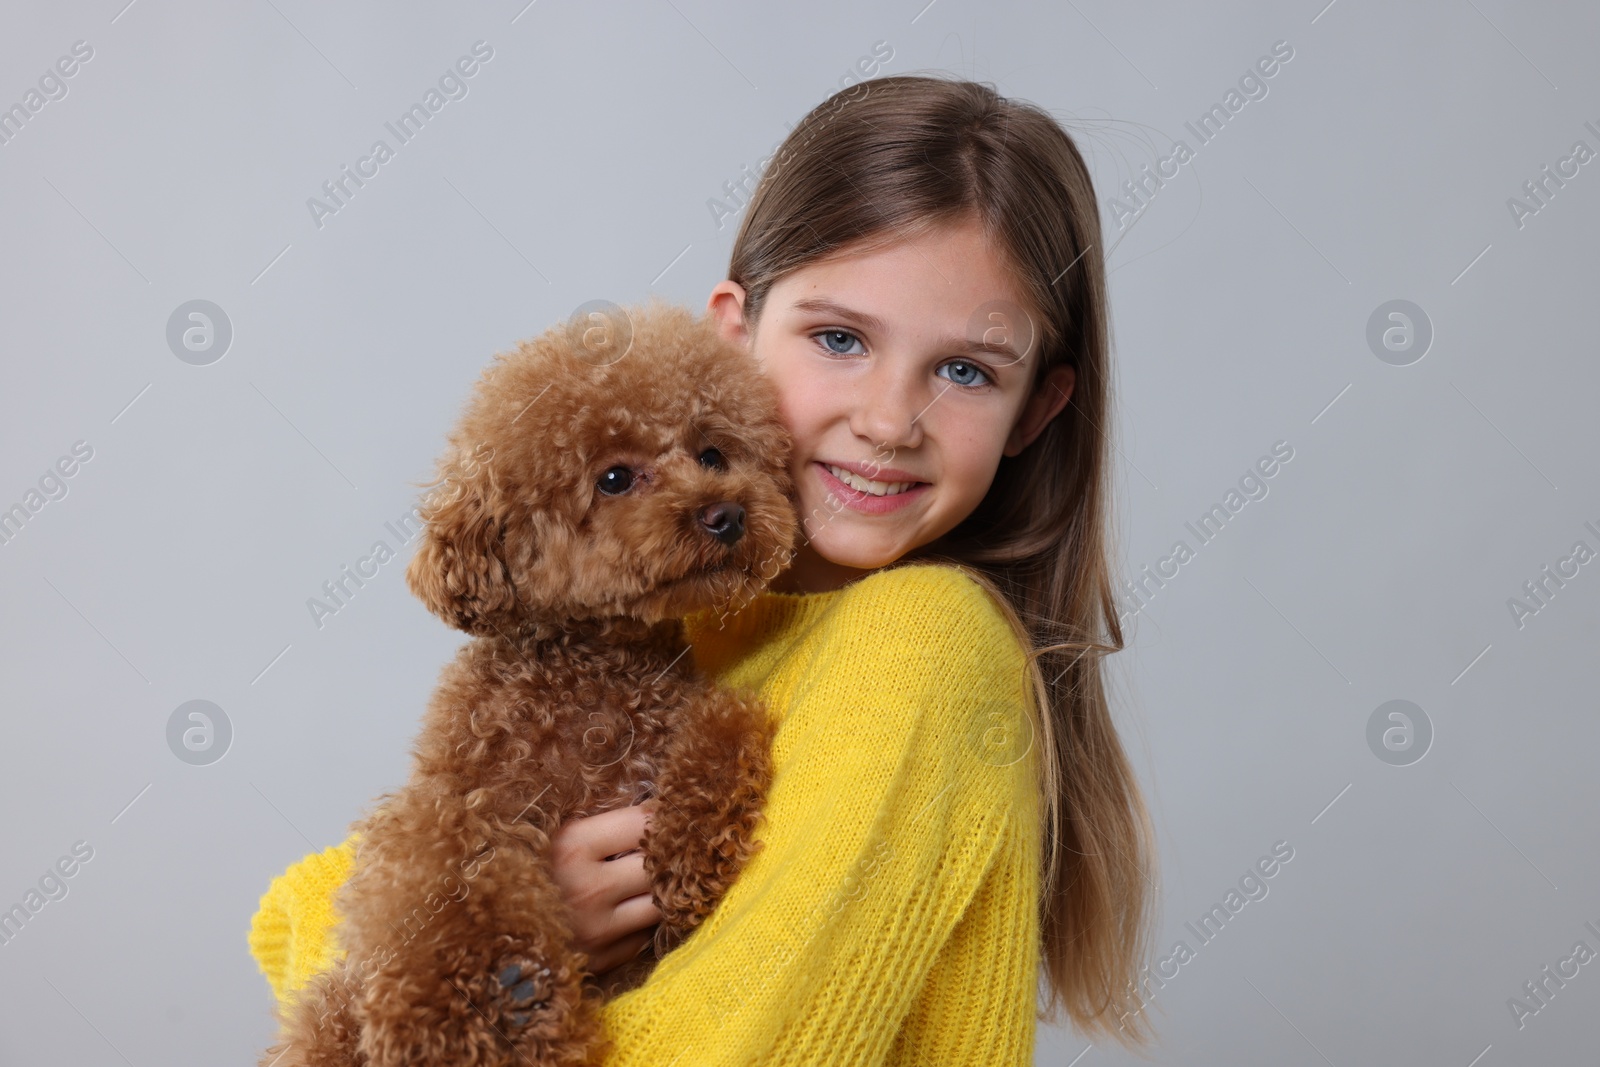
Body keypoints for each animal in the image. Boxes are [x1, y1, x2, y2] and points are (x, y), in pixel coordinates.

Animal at [260, 299, 800, 1067]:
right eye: (614, 478)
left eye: (713, 455)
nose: (726, 514)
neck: (596, 674)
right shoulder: (453, 793)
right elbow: (440, 871)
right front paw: (486, 1007)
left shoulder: (685, 719)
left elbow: (725, 724)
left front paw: (686, 847)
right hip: (333, 1011)